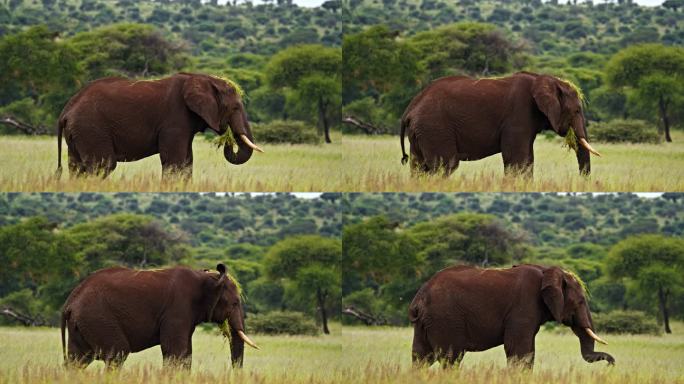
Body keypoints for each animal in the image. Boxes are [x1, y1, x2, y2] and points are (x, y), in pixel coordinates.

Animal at [56, 72, 264, 178]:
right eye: (235, 107)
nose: (228, 137)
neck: (203, 78)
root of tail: (66, 110)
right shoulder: (174, 120)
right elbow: (175, 162)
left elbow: (187, 162)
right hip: (91, 128)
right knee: (103, 165)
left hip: (78, 133)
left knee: (76, 167)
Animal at [60, 264, 258, 368]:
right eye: (235, 303)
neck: (206, 278)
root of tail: (70, 300)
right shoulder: (177, 309)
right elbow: (175, 352)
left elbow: (186, 354)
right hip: (98, 317)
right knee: (117, 355)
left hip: (82, 323)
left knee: (77, 360)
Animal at [398, 71, 600, 177]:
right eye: (577, 111)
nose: (582, 180)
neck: (544, 79)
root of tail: (410, 108)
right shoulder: (518, 115)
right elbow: (517, 159)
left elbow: (527, 160)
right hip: (435, 127)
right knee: (446, 165)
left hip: (421, 132)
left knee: (419, 167)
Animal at [406, 264, 616, 368]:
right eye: (580, 301)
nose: (610, 365)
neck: (547, 271)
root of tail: (420, 296)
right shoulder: (523, 306)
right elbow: (519, 350)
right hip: (446, 319)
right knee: (451, 359)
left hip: (428, 323)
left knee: (421, 358)